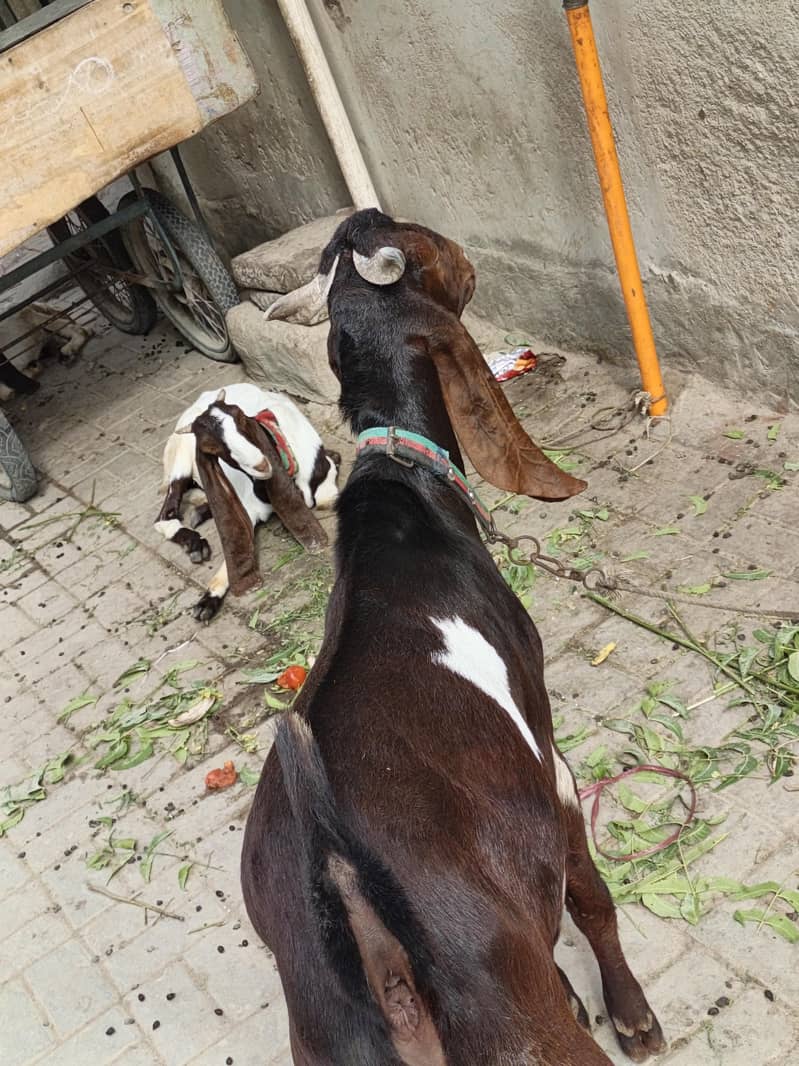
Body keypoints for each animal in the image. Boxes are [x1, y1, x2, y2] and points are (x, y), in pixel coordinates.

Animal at [155, 383, 340, 620]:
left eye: (242, 418)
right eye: (211, 447)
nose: (261, 465)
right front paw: (207, 601)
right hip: (181, 459)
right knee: (164, 515)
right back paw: (195, 544)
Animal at [241, 210, 666, 1065]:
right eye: (420, 242)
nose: (468, 257)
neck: (409, 504)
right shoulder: (547, 755)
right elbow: (590, 895)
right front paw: (630, 1012)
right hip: (518, 1029)